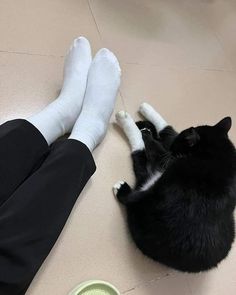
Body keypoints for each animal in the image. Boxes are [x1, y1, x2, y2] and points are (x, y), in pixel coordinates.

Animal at [115, 106, 236, 272]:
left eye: (177, 144)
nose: (172, 149)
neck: (219, 158)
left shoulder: (167, 159)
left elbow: (156, 144)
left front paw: (143, 130)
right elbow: (168, 130)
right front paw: (146, 108)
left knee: (139, 154)